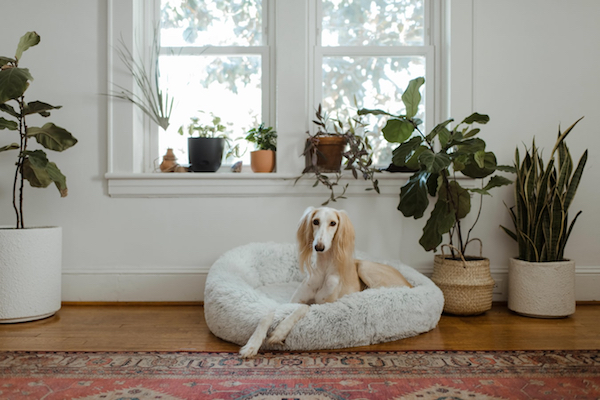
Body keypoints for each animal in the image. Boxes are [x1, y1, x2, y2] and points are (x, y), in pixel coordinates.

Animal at [239, 208, 412, 358]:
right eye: (315, 221)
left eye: (333, 223)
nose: (319, 246)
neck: (323, 270)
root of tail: (410, 283)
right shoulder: (291, 301)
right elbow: (268, 314)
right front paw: (252, 345)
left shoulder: (324, 305)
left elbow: (304, 308)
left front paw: (280, 332)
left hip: (365, 267)